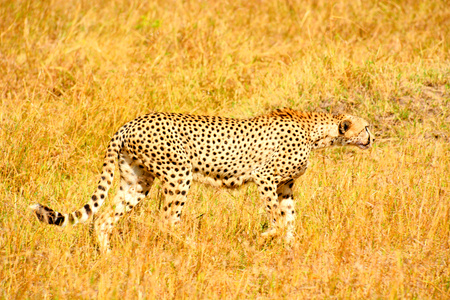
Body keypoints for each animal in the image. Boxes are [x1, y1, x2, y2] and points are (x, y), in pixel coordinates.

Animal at [30, 108, 372, 253]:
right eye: (365, 127)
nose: (372, 137)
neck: (317, 131)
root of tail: (130, 122)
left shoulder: (285, 186)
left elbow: (289, 218)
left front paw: (290, 249)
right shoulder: (265, 177)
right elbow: (276, 217)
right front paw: (266, 238)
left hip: (137, 182)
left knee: (102, 218)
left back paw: (108, 258)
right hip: (178, 174)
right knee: (167, 221)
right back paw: (197, 247)